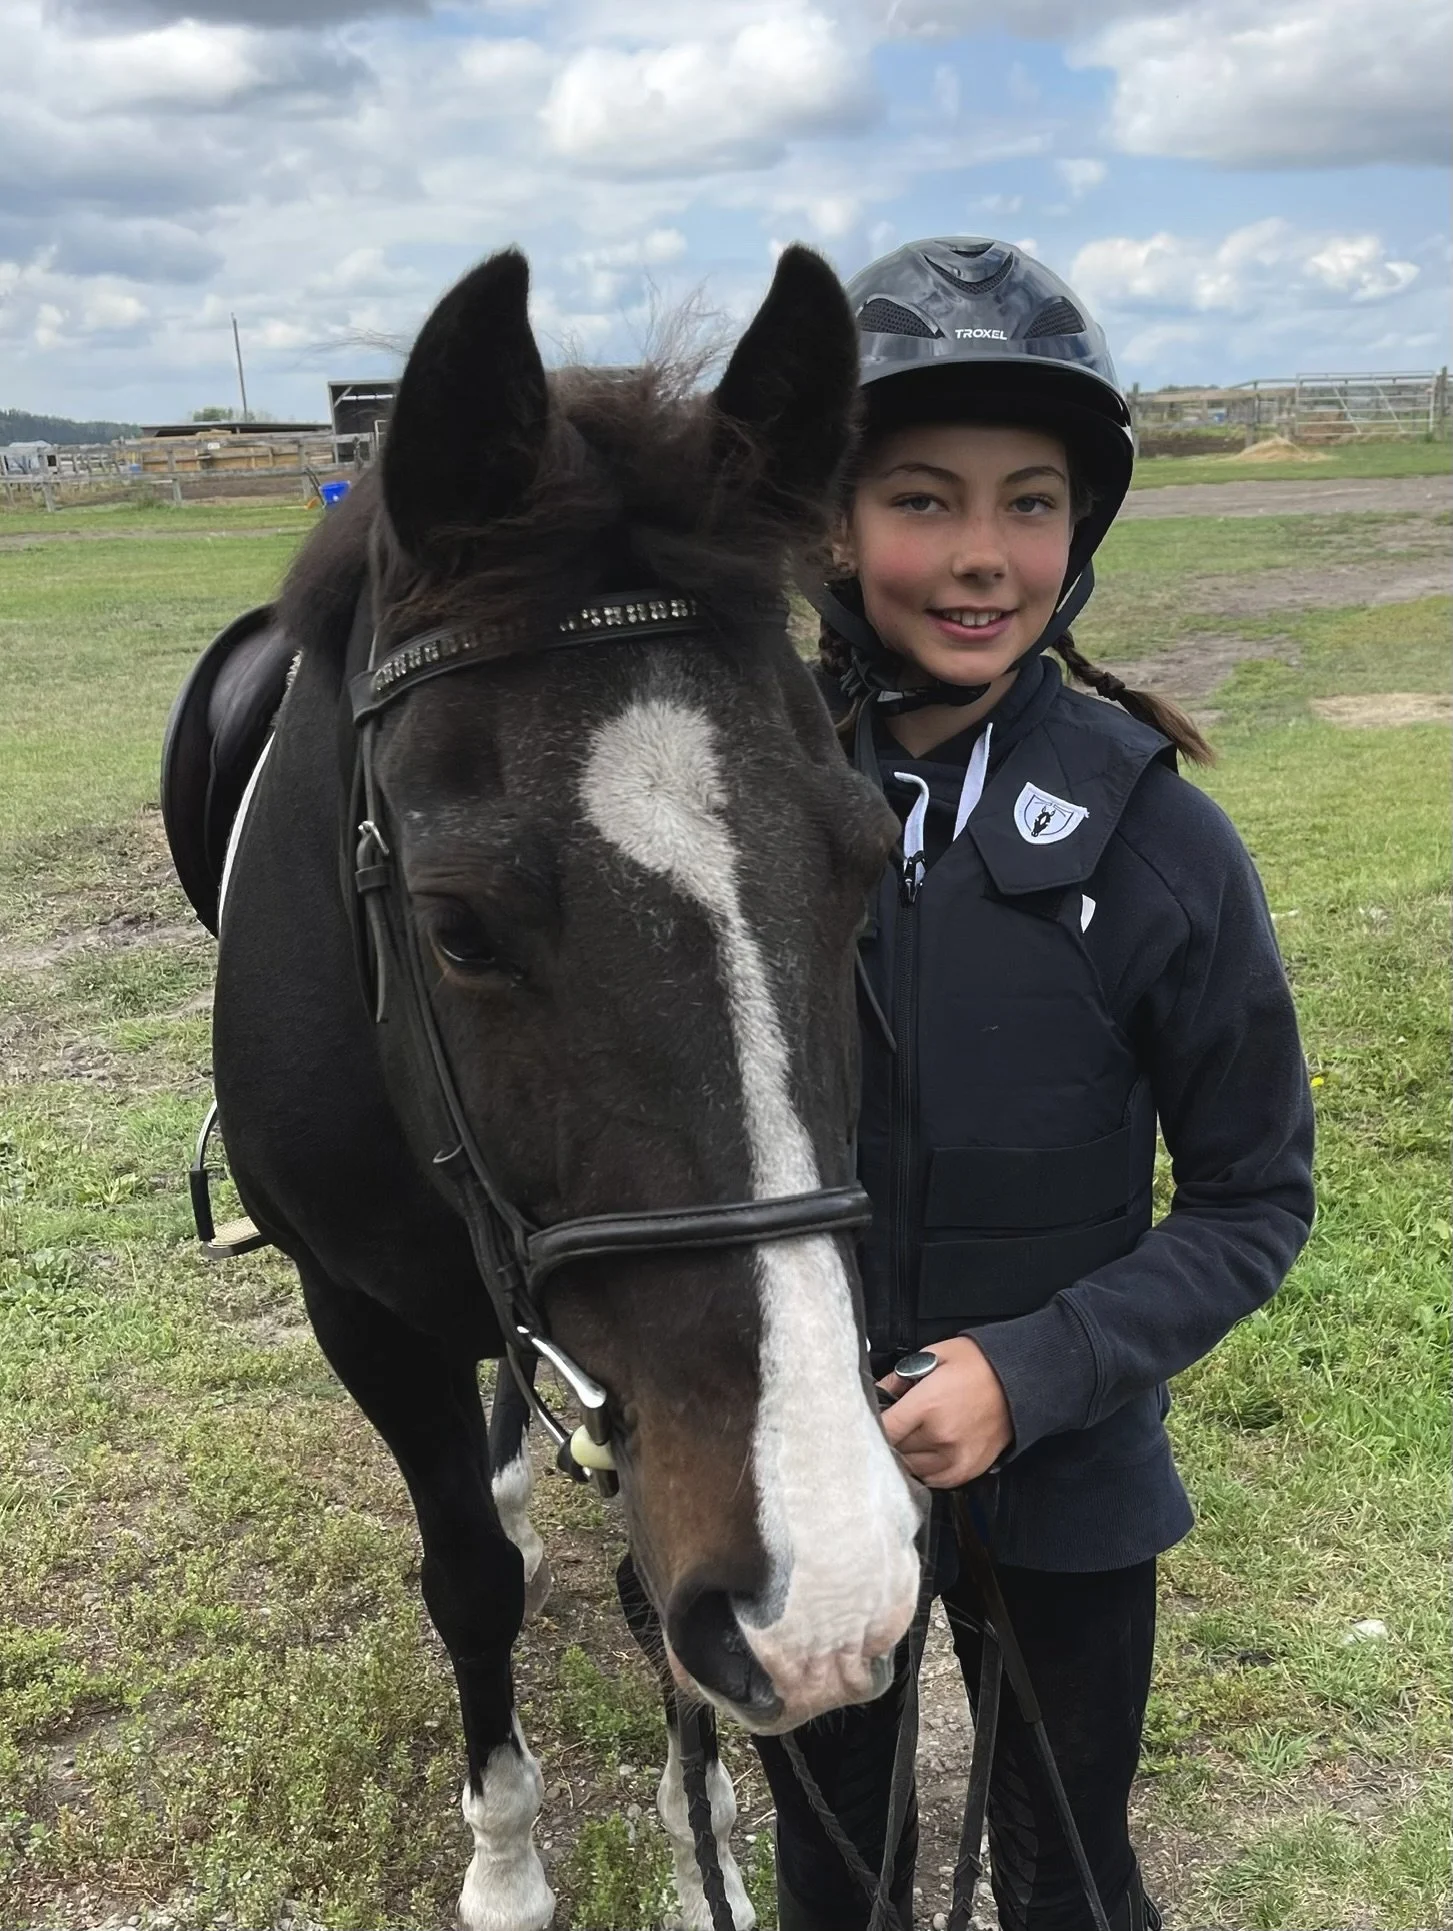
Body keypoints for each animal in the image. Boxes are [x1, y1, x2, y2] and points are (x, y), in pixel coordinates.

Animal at [197, 244, 924, 1931]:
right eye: (456, 925)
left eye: (864, 860)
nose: (834, 1596)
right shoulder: (357, 1307)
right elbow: (464, 1577)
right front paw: (509, 1864)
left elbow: (653, 1583)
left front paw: (696, 1842)